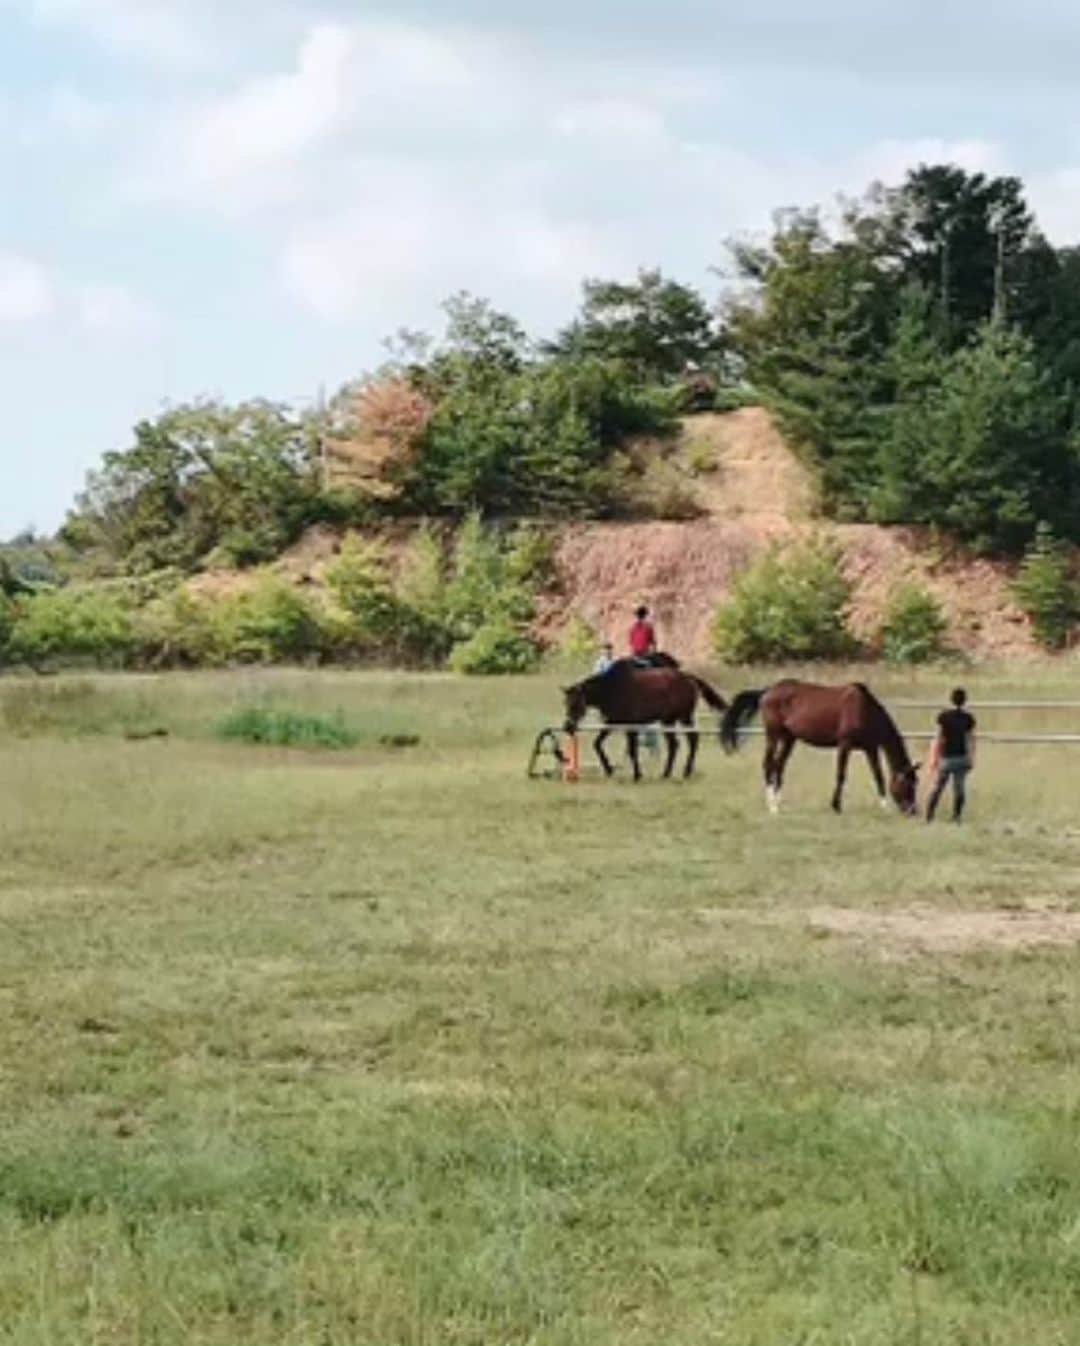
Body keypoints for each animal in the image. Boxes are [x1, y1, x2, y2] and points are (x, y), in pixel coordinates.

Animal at [562, 659, 721, 780]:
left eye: (575, 704)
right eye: (566, 703)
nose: (568, 727)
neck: (611, 689)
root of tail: (688, 678)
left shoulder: (630, 726)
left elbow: (632, 750)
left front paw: (637, 775)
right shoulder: (612, 722)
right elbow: (597, 744)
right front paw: (609, 769)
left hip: (685, 717)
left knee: (693, 740)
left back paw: (686, 771)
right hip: (668, 721)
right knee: (674, 745)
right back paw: (666, 773)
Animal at [721, 678, 915, 812]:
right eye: (910, 784)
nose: (912, 811)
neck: (865, 710)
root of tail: (767, 691)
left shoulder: (870, 748)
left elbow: (878, 775)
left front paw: (885, 806)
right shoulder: (845, 745)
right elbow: (841, 775)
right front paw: (836, 806)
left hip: (789, 738)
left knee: (779, 765)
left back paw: (779, 802)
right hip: (773, 735)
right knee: (768, 764)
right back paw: (772, 807)